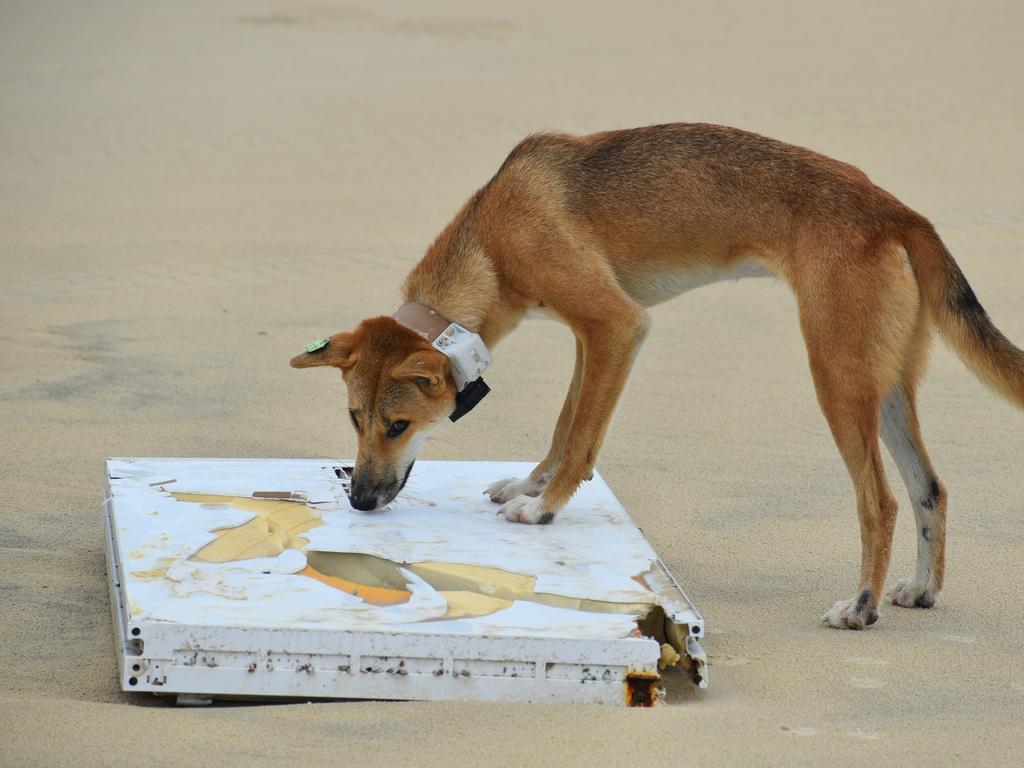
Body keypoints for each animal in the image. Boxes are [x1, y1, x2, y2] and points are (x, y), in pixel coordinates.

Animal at [290, 124, 1024, 630]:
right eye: (354, 420)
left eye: (398, 425)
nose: (359, 502)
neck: (493, 241)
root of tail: (897, 210)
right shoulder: (591, 340)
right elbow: (565, 427)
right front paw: (529, 485)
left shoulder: (618, 326)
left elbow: (582, 439)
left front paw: (545, 508)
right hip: (887, 385)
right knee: (929, 489)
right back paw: (921, 590)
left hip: (838, 378)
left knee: (882, 500)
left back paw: (862, 606)